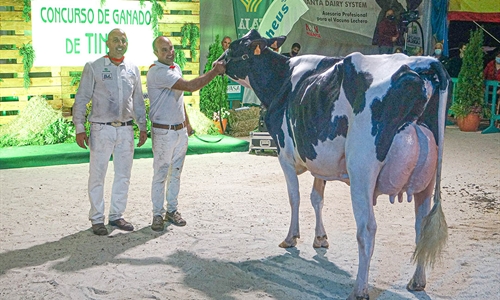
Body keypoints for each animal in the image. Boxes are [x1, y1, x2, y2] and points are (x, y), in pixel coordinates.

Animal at [221, 29, 452, 298]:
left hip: (362, 169)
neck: (283, 80)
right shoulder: (319, 159)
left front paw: (291, 238)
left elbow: (294, 197)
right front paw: (320, 238)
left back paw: (359, 289)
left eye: (235, 47)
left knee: (367, 229)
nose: (217, 61)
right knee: (422, 226)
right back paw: (417, 281)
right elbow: (316, 197)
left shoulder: (284, 154)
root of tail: (421, 62)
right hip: (428, 178)